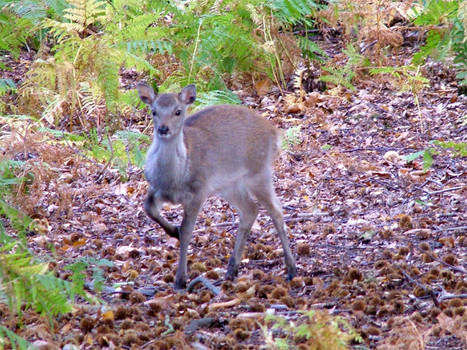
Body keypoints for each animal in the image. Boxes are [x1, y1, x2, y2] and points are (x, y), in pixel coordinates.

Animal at [138, 82, 296, 290]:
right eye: (154, 111)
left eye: (178, 111)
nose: (163, 129)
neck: (174, 178)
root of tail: (275, 133)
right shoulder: (156, 187)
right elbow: (148, 207)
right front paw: (173, 231)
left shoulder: (199, 190)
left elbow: (187, 230)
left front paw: (180, 280)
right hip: (229, 184)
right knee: (250, 209)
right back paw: (231, 270)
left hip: (259, 172)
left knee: (276, 209)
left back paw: (291, 269)